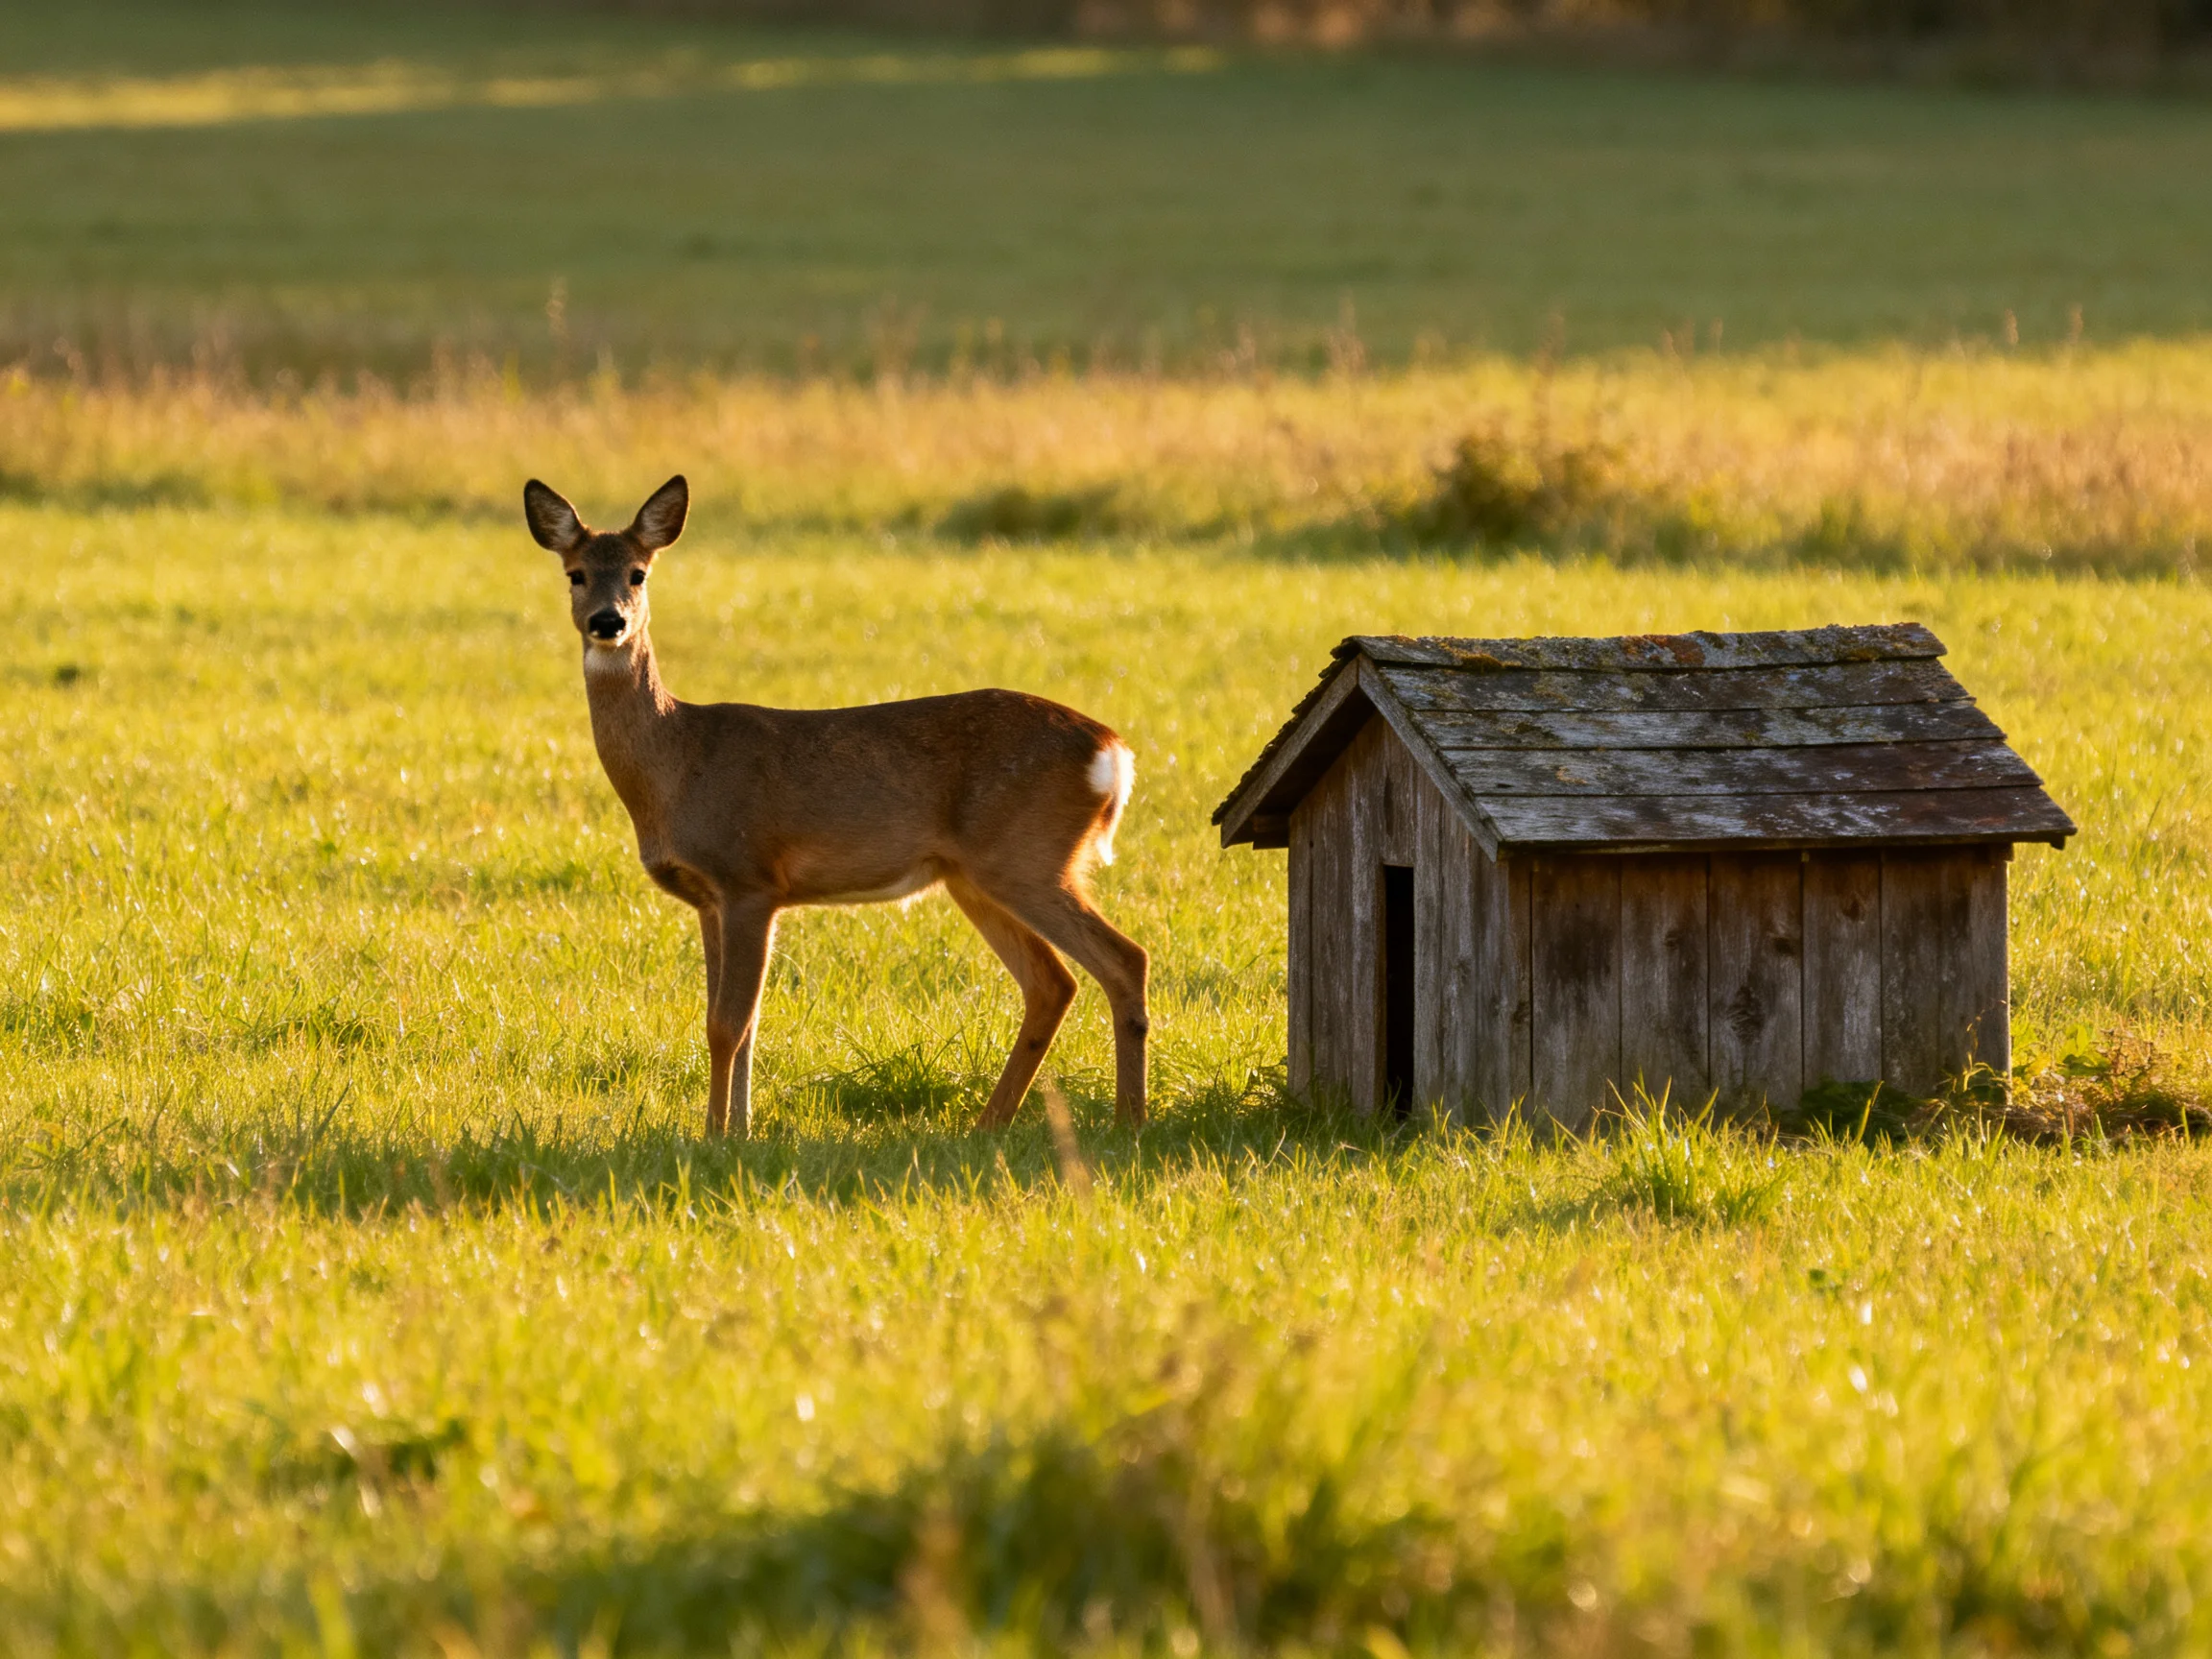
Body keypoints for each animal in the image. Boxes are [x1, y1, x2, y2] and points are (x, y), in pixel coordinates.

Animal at [523, 474, 1148, 1139]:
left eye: (638, 573)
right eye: (575, 573)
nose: (607, 621)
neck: (677, 761)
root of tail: (1112, 750)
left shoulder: (750, 879)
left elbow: (727, 1024)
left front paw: (717, 1135)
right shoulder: (709, 897)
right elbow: (739, 1025)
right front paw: (736, 1130)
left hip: (1027, 856)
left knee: (1123, 959)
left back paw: (1128, 1121)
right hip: (976, 876)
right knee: (1052, 983)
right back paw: (991, 1124)